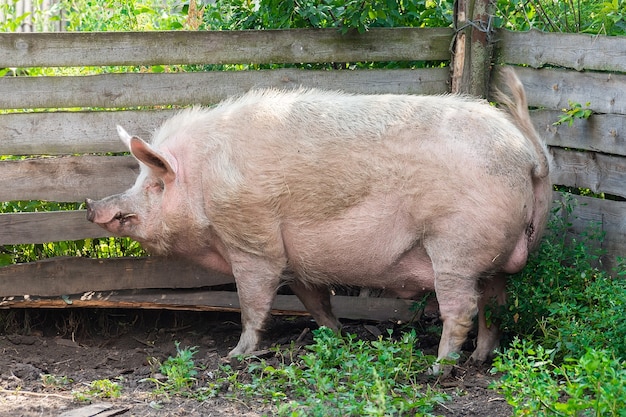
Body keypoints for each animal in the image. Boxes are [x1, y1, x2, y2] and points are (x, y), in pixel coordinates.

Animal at [84, 68, 552, 368]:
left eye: (154, 185)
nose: (91, 206)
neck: (203, 181)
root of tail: (529, 156)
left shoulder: (254, 243)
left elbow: (253, 302)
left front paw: (236, 355)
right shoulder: (296, 261)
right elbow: (314, 301)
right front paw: (337, 337)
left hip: (455, 245)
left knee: (462, 306)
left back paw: (439, 368)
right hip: (492, 257)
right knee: (496, 304)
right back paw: (481, 357)